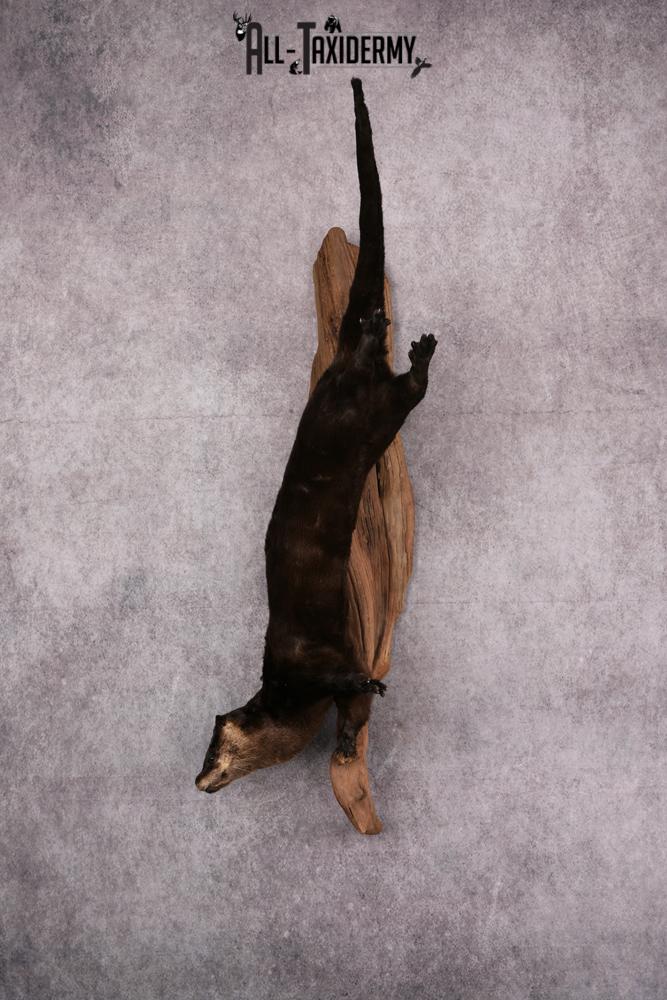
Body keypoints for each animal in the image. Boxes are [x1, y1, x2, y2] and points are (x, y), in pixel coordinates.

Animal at [195, 78, 437, 794]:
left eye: (212, 751)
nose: (198, 780)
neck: (289, 695)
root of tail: (343, 363)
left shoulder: (313, 663)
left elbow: (350, 683)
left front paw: (368, 690)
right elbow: (353, 711)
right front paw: (353, 734)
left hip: (376, 413)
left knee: (410, 390)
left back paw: (415, 345)